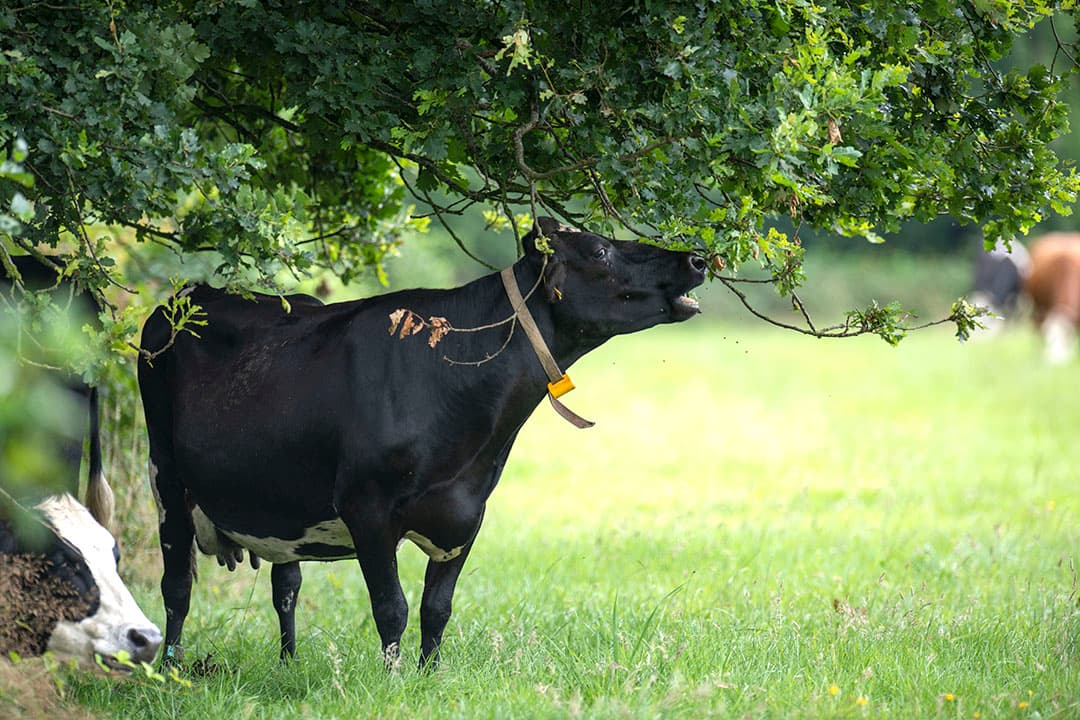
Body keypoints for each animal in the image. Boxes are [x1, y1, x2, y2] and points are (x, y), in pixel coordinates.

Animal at [138, 217, 707, 668]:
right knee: (177, 587)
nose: (696, 257)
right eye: (601, 250)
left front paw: (427, 677)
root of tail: (192, 293)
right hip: (166, 476)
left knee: (286, 585)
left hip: (278, 499)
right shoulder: (367, 506)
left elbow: (437, 609)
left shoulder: (467, 512)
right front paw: (393, 681)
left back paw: (287, 664)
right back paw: (169, 669)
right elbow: (392, 608)